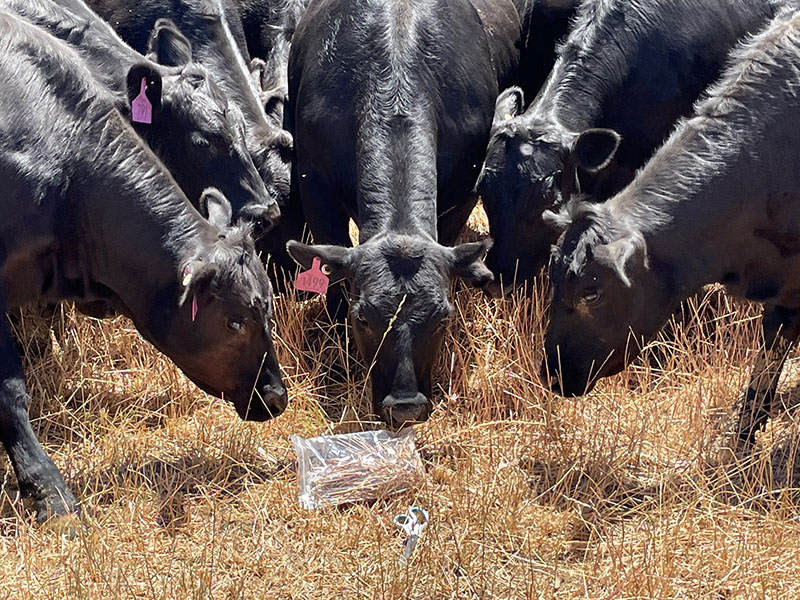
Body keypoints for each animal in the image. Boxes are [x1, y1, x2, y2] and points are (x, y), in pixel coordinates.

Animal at [285, 0, 519, 427]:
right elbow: (333, 281)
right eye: (363, 318)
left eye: (443, 317)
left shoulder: (464, 190)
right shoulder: (314, 186)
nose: (405, 405)